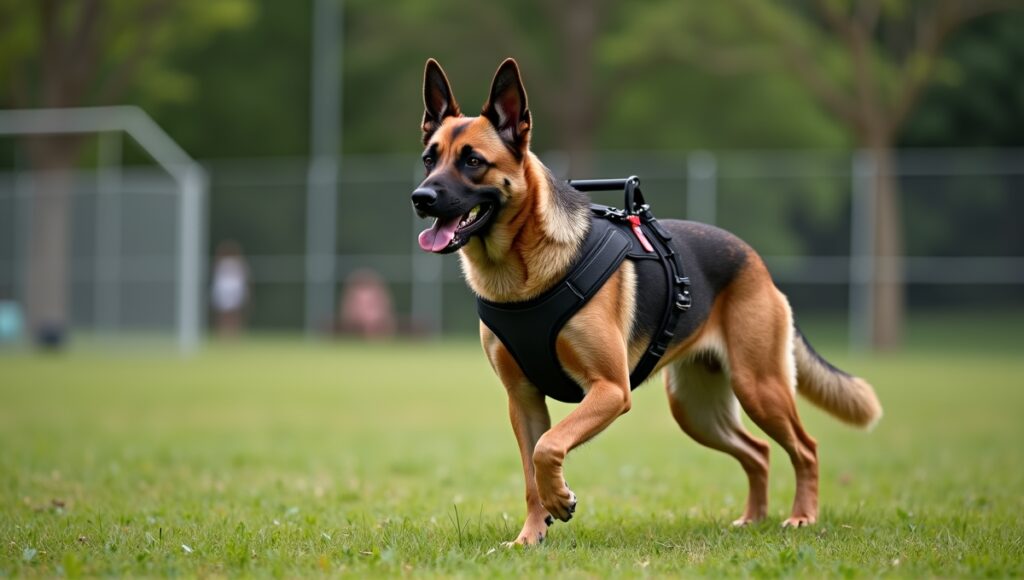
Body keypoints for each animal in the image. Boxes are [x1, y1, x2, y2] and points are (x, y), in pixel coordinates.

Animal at [407, 56, 880, 549]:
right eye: (429, 159)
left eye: (473, 161)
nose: (421, 198)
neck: (521, 276)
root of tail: (755, 260)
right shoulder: (523, 399)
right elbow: (530, 469)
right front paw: (531, 537)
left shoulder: (611, 389)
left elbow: (548, 446)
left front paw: (560, 500)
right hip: (696, 409)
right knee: (760, 451)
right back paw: (753, 518)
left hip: (759, 387)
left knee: (804, 448)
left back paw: (802, 516)